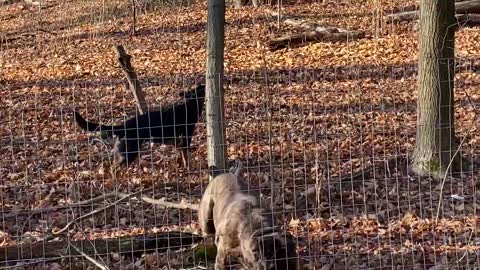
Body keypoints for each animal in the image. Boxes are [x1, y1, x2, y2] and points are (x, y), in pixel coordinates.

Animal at [74, 85, 205, 168]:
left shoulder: (179, 141)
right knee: (114, 169)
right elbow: (186, 154)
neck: (190, 104)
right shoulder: (187, 135)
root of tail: (124, 126)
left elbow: (181, 153)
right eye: (199, 89)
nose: (202, 84)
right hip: (129, 152)